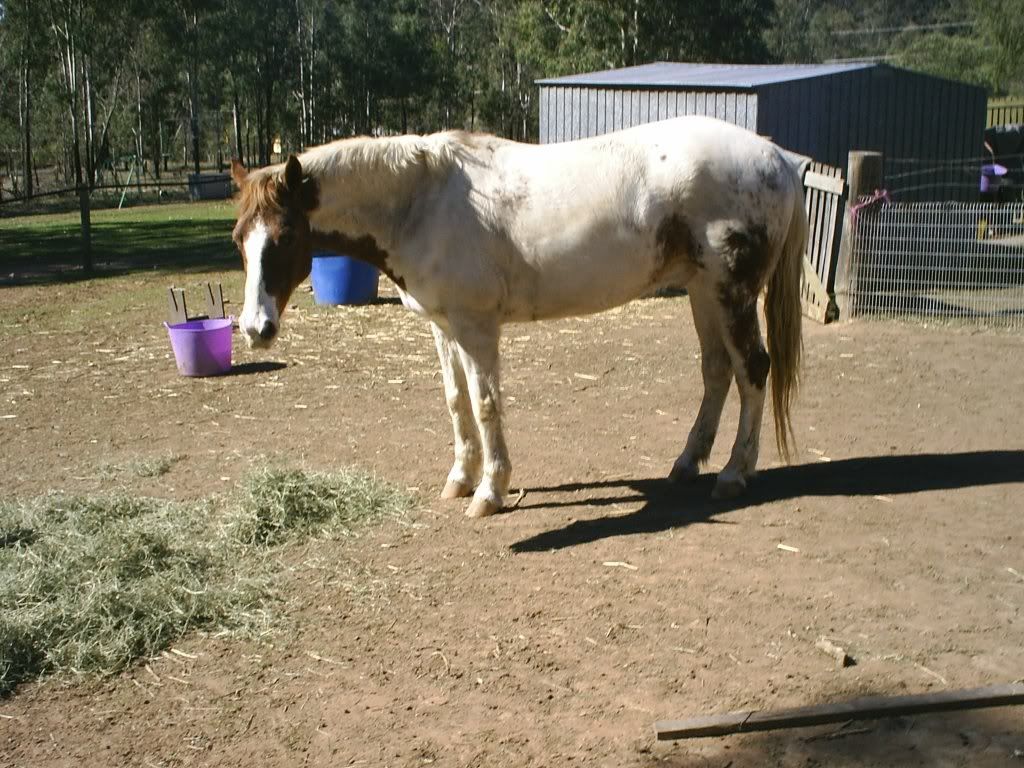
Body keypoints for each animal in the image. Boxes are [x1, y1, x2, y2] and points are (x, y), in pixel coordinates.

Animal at [230, 117, 806, 520]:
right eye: (239, 239)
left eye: (284, 237)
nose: (256, 329)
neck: (421, 200)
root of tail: (778, 158)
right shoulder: (443, 327)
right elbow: (456, 401)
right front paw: (459, 479)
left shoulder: (475, 328)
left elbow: (486, 405)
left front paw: (489, 492)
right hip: (702, 291)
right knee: (717, 372)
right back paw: (687, 465)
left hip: (731, 292)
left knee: (753, 370)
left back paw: (733, 474)